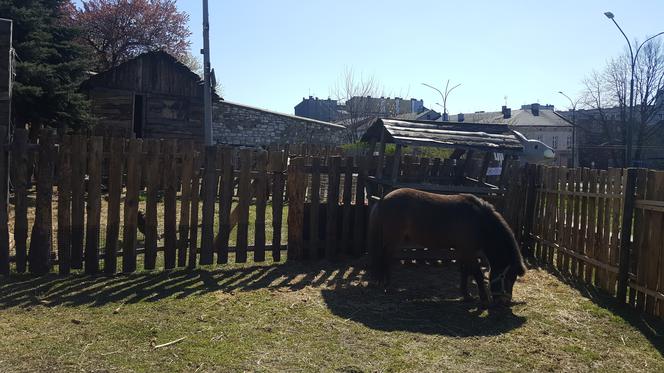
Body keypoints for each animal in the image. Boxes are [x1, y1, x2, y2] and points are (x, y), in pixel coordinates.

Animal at [366, 187, 528, 304]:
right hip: (392, 240)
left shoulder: (463, 251)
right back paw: (388, 285)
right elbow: (477, 274)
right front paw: (483, 299)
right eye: (509, 278)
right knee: (386, 259)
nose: (505, 302)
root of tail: (383, 200)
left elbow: (465, 272)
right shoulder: (469, 251)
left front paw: (466, 295)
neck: (479, 221)